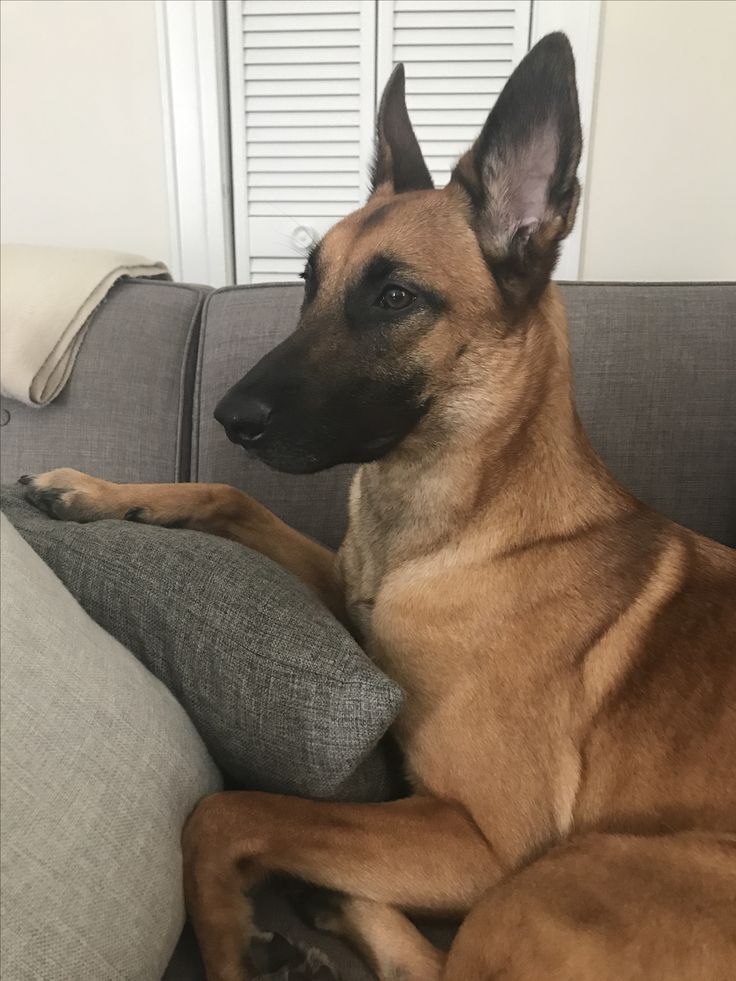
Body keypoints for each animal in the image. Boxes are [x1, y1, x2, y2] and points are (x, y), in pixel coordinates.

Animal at [23, 32, 736, 980]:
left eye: (394, 298)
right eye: (306, 283)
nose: (229, 418)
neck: (453, 530)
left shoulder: (484, 841)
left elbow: (230, 811)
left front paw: (229, 940)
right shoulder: (341, 583)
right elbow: (230, 494)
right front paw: (97, 492)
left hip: (548, 882)